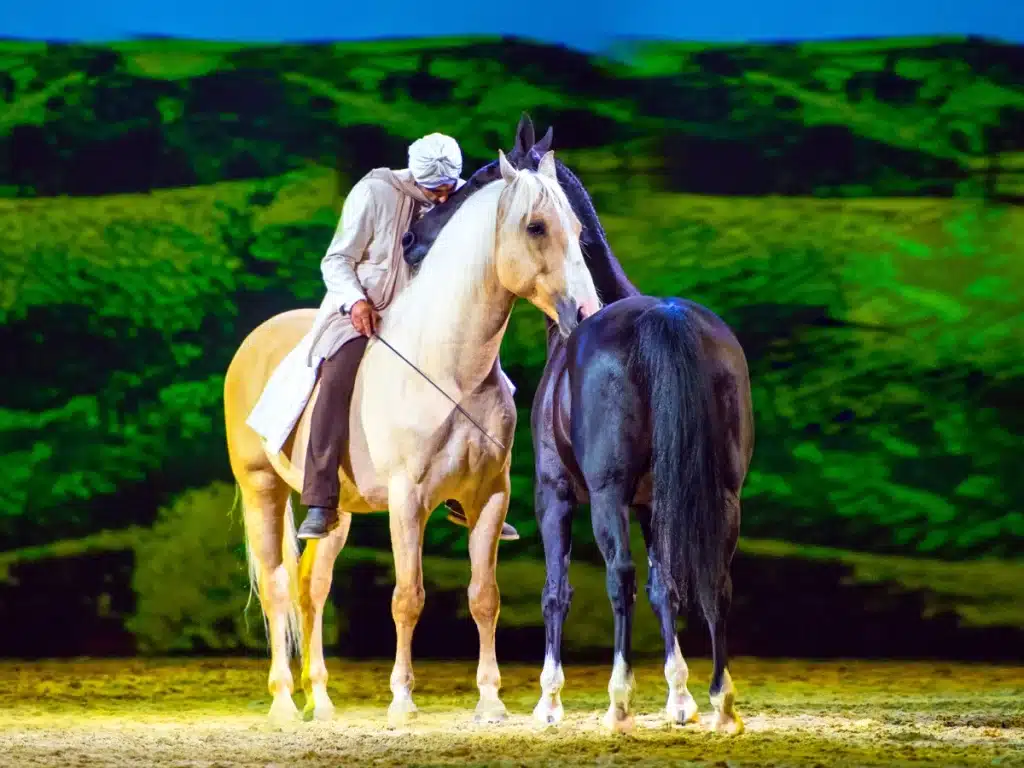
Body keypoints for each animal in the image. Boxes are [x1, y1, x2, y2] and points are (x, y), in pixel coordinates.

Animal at [223, 148, 602, 725]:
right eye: (536, 226)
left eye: (579, 230)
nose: (586, 313)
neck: (451, 371)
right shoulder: (408, 502)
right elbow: (407, 597)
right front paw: (401, 700)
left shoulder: (489, 498)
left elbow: (484, 596)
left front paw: (490, 700)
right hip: (261, 489)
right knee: (277, 587)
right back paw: (285, 701)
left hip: (335, 512)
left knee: (313, 587)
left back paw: (321, 700)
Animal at [404, 115, 754, 734]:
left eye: (480, 178)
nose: (413, 239)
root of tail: (664, 319)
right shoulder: (652, 502)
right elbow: (665, 586)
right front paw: (679, 696)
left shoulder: (556, 496)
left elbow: (557, 589)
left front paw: (549, 700)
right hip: (722, 495)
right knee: (714, 578)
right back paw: (721, 701)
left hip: (607, 497)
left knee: (619, 577)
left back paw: (619, 702)